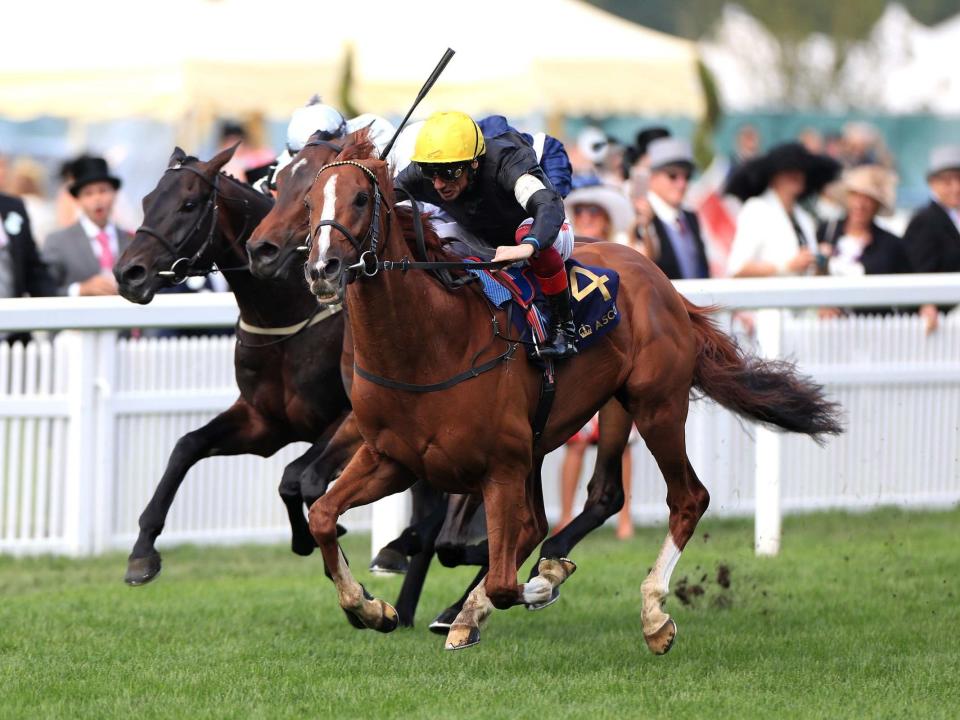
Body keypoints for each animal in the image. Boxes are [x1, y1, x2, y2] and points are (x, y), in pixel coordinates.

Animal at [300, 149, 840, 656]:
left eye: (361, 199)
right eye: (308, 202)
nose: (322, 268)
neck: (429, 345)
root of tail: (658, 277)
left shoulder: (500, 466)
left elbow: (503, 581)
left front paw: (539, 584)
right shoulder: (391, 459)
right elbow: (323, 516)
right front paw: (371, 608)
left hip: (656, 405)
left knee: (688, 498)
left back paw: (650, 614)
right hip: (587, 419)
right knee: (588, 501)